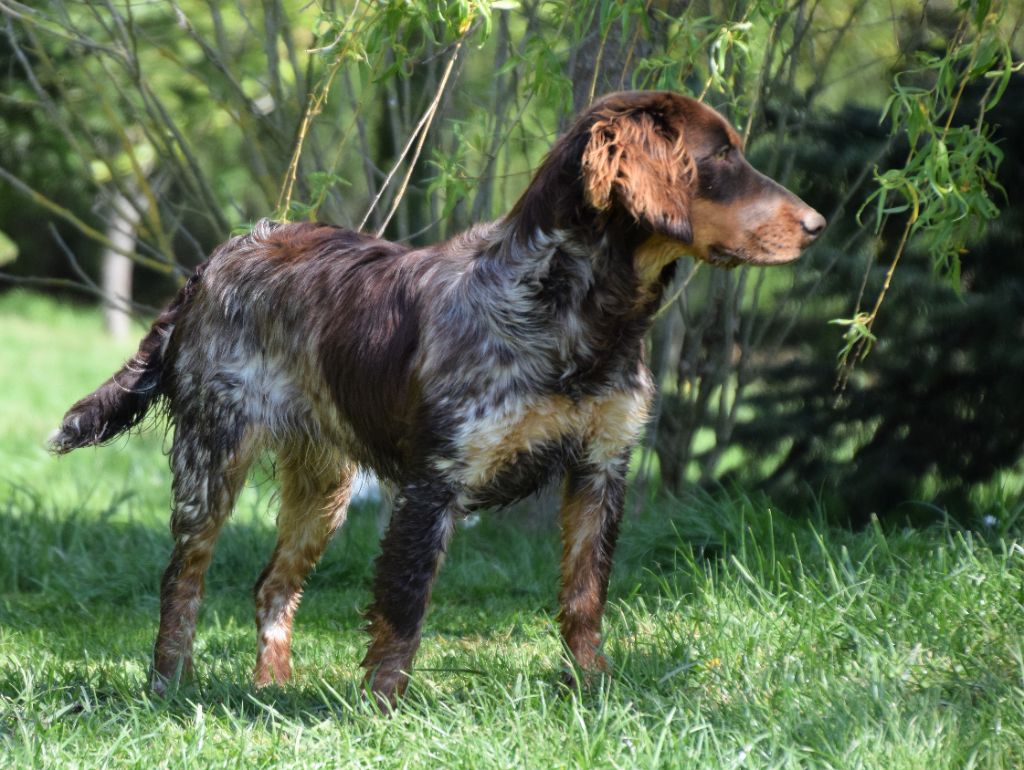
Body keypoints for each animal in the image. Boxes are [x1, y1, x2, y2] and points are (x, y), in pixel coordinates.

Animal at [51, 88, 827, 704]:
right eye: (721, 157)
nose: (818, 225)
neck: (577, 317)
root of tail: (217, 256)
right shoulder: (435, 482)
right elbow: (403, 608)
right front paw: (382, 709)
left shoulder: (602, 466)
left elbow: (583, 600)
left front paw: (597, 688)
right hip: (212, 459)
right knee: (182, 581)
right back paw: (168, 685)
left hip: (324, 485)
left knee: (272, 586)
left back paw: (272, 688)